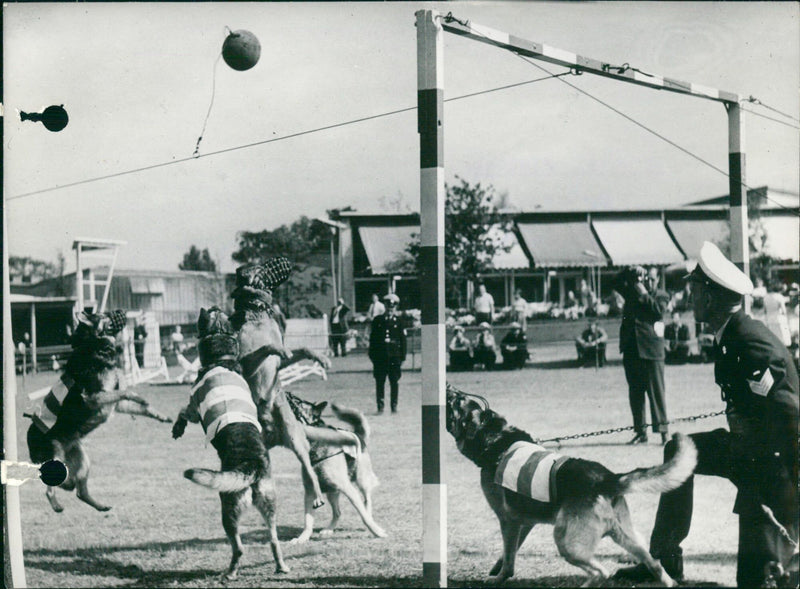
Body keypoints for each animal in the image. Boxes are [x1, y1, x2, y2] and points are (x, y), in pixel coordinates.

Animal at [26, 310, 172, 512]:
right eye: (104, 315)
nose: (122, 311)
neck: (95, 347)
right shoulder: (95, 397)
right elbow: (127, 392)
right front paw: (139, 397)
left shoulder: (115, 404)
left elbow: (140, 407)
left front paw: (160, 415)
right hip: (57, 458)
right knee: (51, 487)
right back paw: (57, 504)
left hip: (82, 460)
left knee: (80, 492)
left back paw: (100, 505)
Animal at [172, 308, 290, 580]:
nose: (211, 307)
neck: (220, 358)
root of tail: (252, 467)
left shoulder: (193, 406)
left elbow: (183, 412)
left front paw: (177, 428)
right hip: (269, 505)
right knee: (273, 539)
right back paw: (280, 566)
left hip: (229, 507)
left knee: (239, 547)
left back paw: (230, 572)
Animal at [284, 392, 388, 544]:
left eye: (297, 401)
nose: (287, 393)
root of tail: (357, 434)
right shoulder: (309, 492)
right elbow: (308, 521)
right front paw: (302, 538)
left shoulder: (349, 490)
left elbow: (364, 516)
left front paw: (378, 532)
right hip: (332, 492)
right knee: (338, 512)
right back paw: (329, 529)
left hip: (361, 481)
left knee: (367, 502)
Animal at [446, 386, 696, 588]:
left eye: (458, 402)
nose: (449, 389)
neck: (495, 437)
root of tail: (607, 479)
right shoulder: (524, 523)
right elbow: (510, 554)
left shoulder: (508, 521)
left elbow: (508, 557)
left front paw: (497, 577)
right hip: (628, 538)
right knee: (655, 564)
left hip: (566, 542)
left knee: (601, 572)